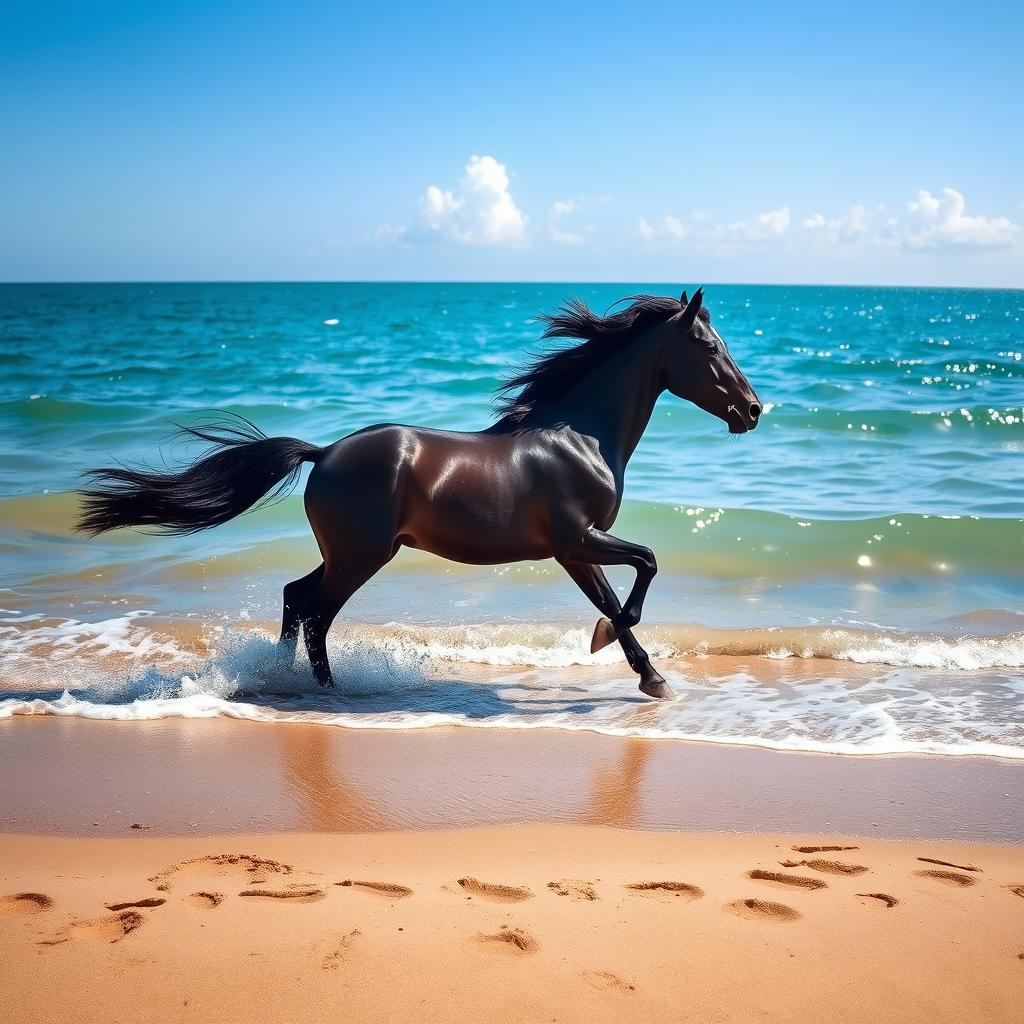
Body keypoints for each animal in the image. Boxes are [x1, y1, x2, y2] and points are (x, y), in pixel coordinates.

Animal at [77, 287, 761, 699]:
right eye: (709, 347)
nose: (753, 410)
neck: (580, 436)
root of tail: (323, 454)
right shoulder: (578, 539)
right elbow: (644, 570)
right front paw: (628, 658)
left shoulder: (573, 551)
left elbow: (617, 595)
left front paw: (645, 671)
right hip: (363, 557)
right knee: (316, 612)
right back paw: (328, 693)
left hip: (346, 553)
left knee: (296, 598)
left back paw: (286, 681)